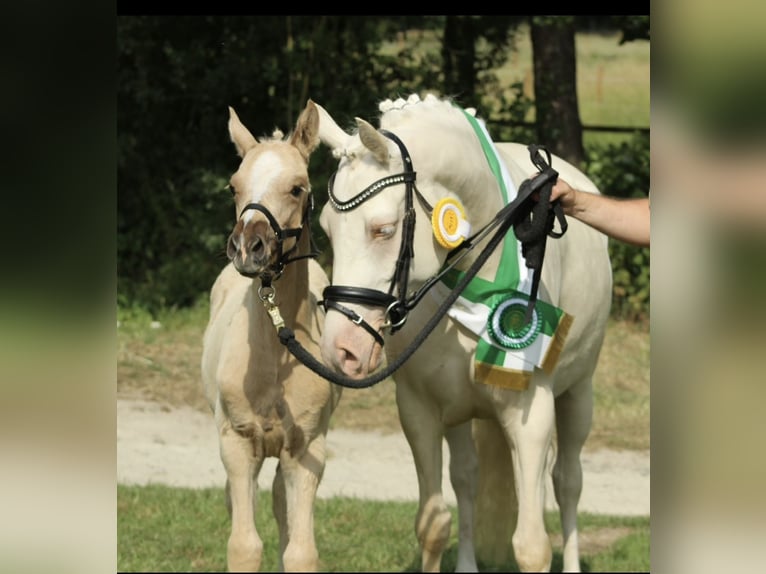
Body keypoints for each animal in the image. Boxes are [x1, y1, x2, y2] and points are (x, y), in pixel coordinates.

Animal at [201, 101, 342, 572]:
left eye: (297, 188)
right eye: (233, 187)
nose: (248, 247)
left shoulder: (308, 451)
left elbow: (300, 551)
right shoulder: (236, 442)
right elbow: (244, 545)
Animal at [316, 95, 612, 574]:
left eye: (383, 229)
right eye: (325, 229)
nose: (342, 350)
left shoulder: (532, 416)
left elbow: (532, 546)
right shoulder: (420, 410)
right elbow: (434, 523)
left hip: (577, 394)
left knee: (567, 483)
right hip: (460, 412)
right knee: (467, 479)